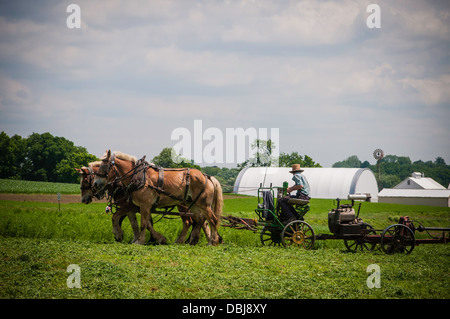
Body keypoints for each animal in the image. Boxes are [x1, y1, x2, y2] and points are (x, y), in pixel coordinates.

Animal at [93, 151, 223, 246]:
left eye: (104, 166)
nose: (95, 184)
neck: (138, 176)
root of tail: (207, 176)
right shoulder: (138, 207)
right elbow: (138, 222)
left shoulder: (142, 205)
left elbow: (142, 223)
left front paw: (138, 241)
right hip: (194, 204)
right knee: (200, 220)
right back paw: (192, 240)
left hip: (203, 205)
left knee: (211, 220)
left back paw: (212, 241)